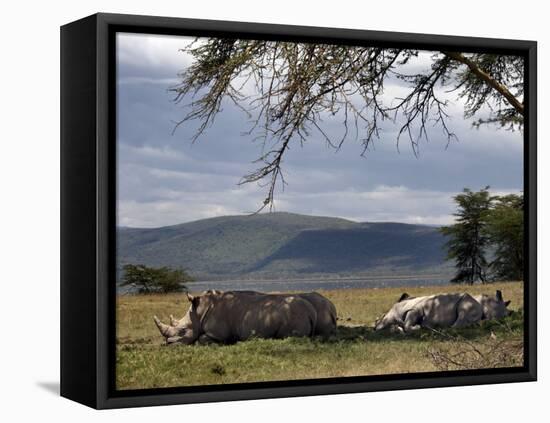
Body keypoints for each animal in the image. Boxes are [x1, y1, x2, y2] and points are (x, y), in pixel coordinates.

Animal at [154, 290, 336, 346]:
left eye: (183, 330)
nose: (168, 344)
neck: (199, 312)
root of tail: (310, 311)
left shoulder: (217, 334)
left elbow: (201, 339)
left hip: (295, 314)